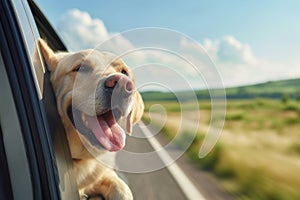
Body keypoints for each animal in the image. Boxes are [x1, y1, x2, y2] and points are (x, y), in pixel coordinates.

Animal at [38, 38, 144, 198]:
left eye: (124, 72)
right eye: (80, 68)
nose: (122, 84)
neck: (78, 159)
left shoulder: (106, 176)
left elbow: (123, 189)